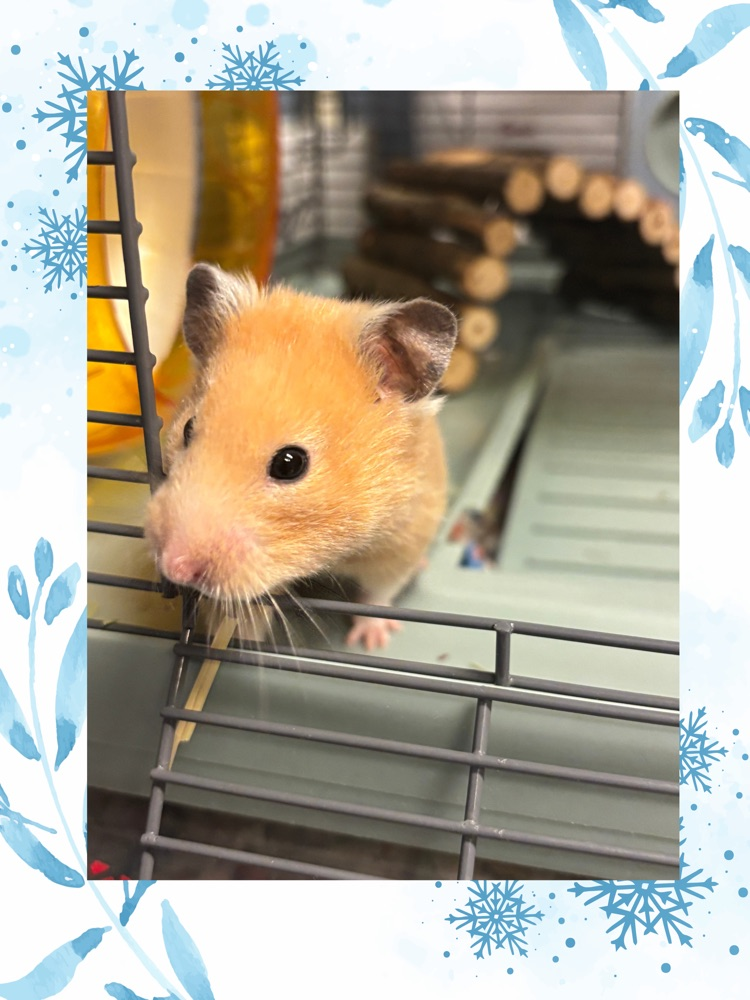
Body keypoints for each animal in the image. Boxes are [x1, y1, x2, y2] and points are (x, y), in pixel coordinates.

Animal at [144, 263, 458, 650]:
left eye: (289, 464)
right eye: (187, 429)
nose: (174, 566)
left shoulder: (404, 537)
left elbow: (379, 593)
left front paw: (370, 641)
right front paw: (230, 642)